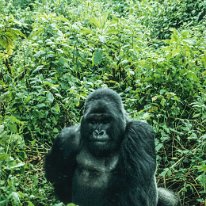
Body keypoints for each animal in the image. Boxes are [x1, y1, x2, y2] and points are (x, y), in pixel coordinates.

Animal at [45, 88, 179, 206]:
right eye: (93, 121)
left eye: (106, 121)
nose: (98, 132)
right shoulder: (65, 139)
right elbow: (60, 182)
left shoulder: (140, 132)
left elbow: (137, 193)